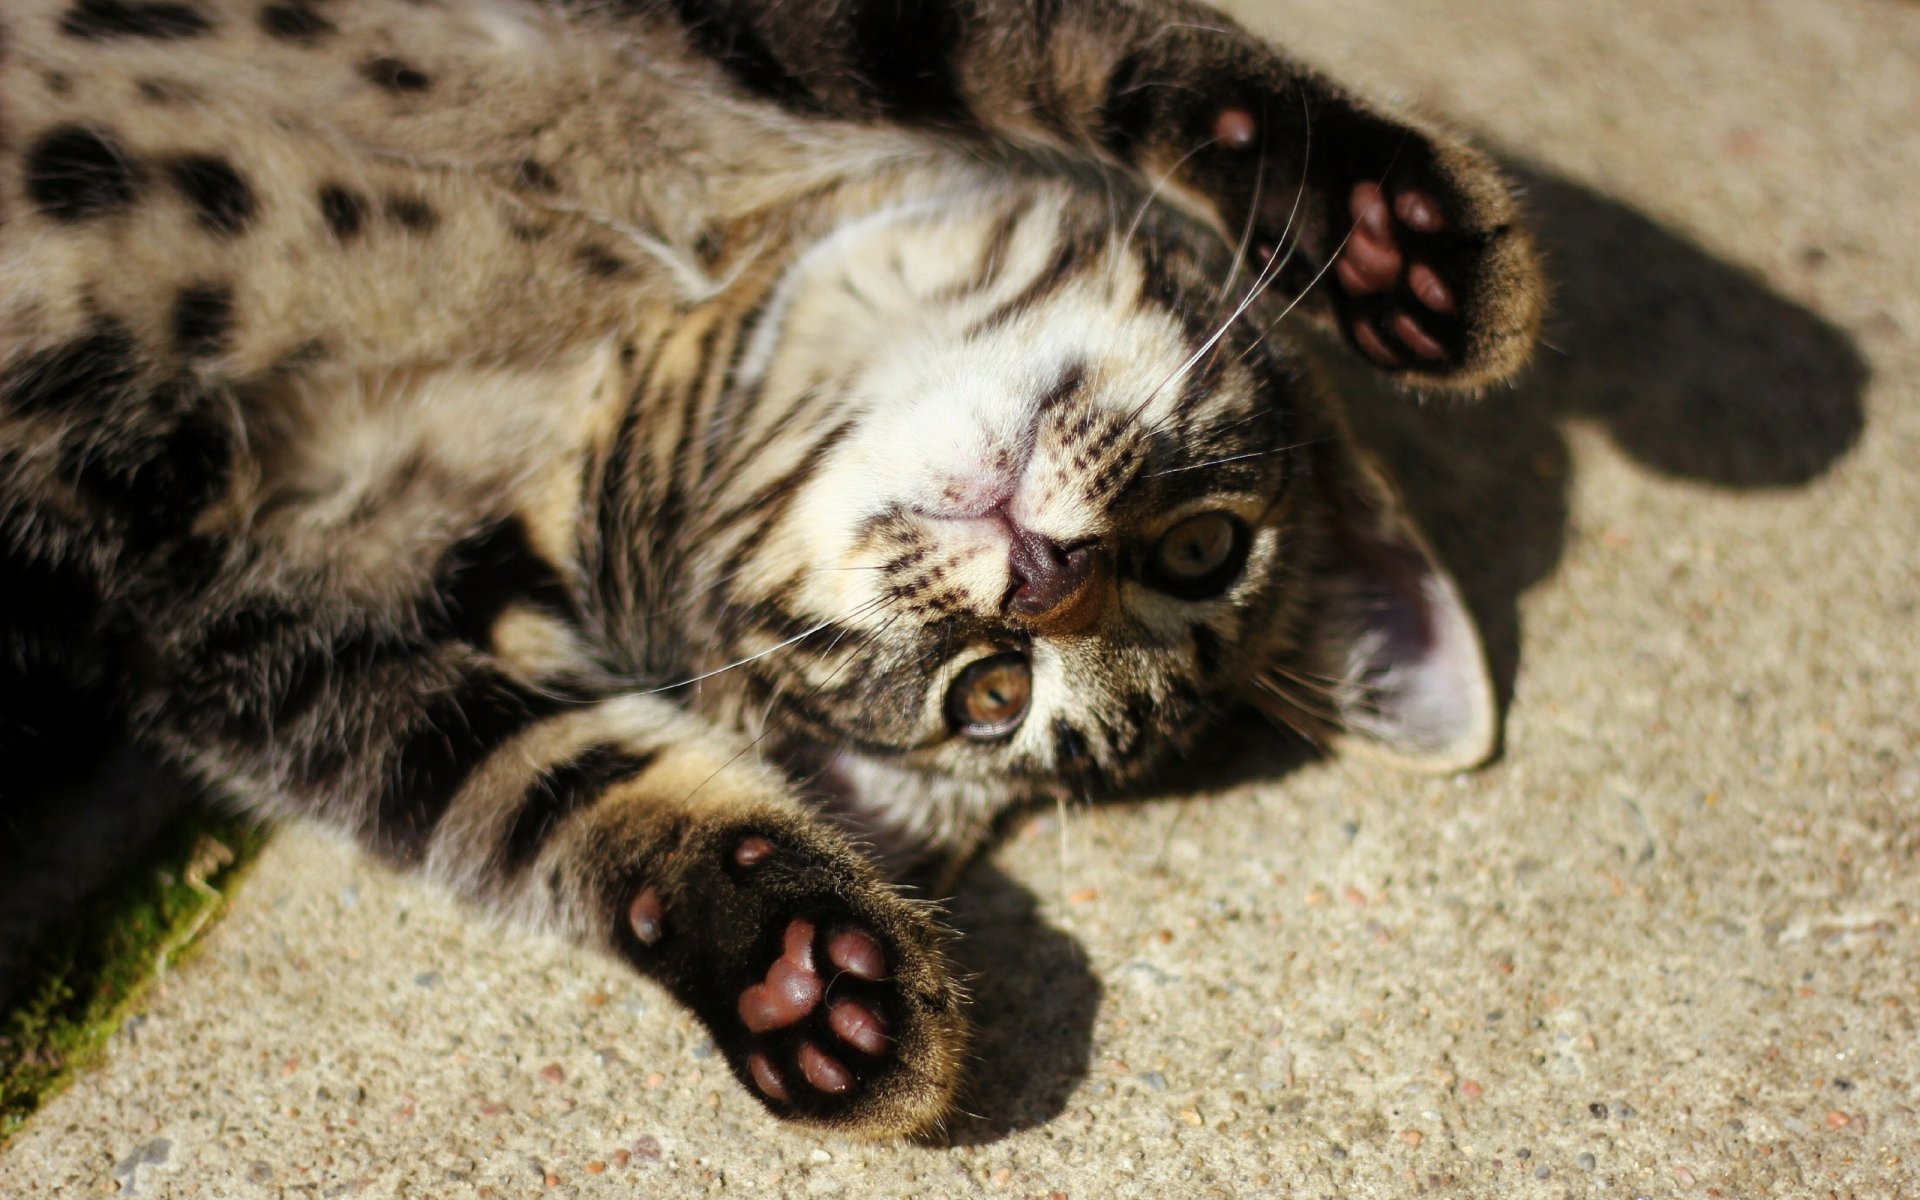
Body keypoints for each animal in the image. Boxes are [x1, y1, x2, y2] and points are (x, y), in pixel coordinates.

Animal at [0, 0, 1536, 1128]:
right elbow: (1090, 50)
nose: (1043, 582)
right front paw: (1392, 234)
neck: (645, 301)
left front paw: (779, 960)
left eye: (990, 695)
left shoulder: (282, 621)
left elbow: (530, 780)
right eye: (1207, 548)